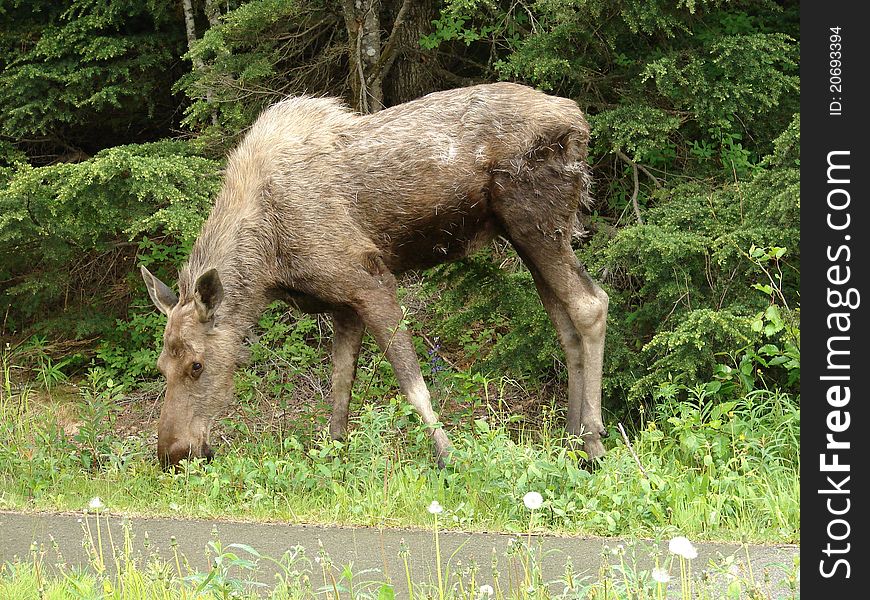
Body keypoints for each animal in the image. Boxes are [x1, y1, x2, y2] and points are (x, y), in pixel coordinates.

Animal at [140, 83, 608, 468]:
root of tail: (579, 122)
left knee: (590, 303)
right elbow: (340, 386)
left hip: (537, 221)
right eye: (162, 366)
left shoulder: (370, 278)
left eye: (197, 365)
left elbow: (411, 381)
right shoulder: (342, 301)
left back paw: (595, 441)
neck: (269, 262)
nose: (173, 455)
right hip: (526, 234)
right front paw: (336, 453)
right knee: (565, 323)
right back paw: (571, 439)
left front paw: (448, 456)